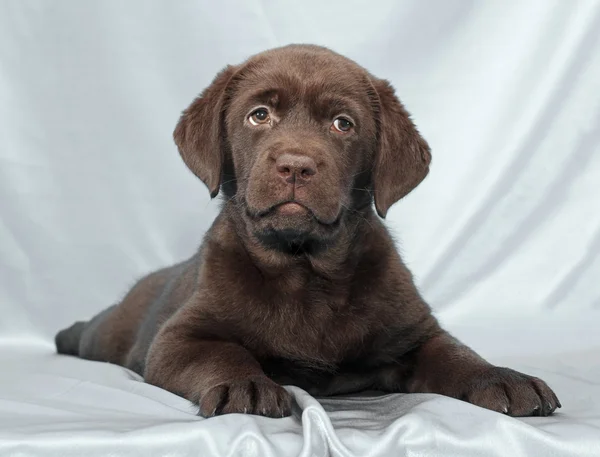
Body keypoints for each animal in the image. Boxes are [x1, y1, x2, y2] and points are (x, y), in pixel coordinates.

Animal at [56, 43, 564, 416]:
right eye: (259, 114)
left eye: (343, 124)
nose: (296, 165)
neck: (305, 270)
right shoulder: (178, 338)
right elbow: (221, 353)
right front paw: (245, 385)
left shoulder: (416, 332)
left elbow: (456, 353)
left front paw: (500, 377)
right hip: (116, 331)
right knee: (94, 330)